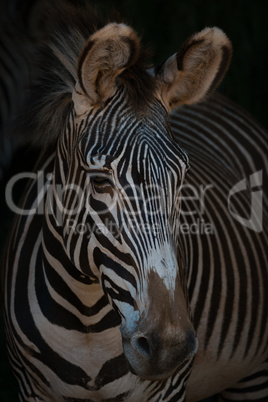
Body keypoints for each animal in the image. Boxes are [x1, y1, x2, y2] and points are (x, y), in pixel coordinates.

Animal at [1, 3, 266, 402]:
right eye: (99, 182)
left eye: (181, 179)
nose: (169, 347)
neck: (87, 320)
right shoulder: (31, 388)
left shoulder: (167, 389)